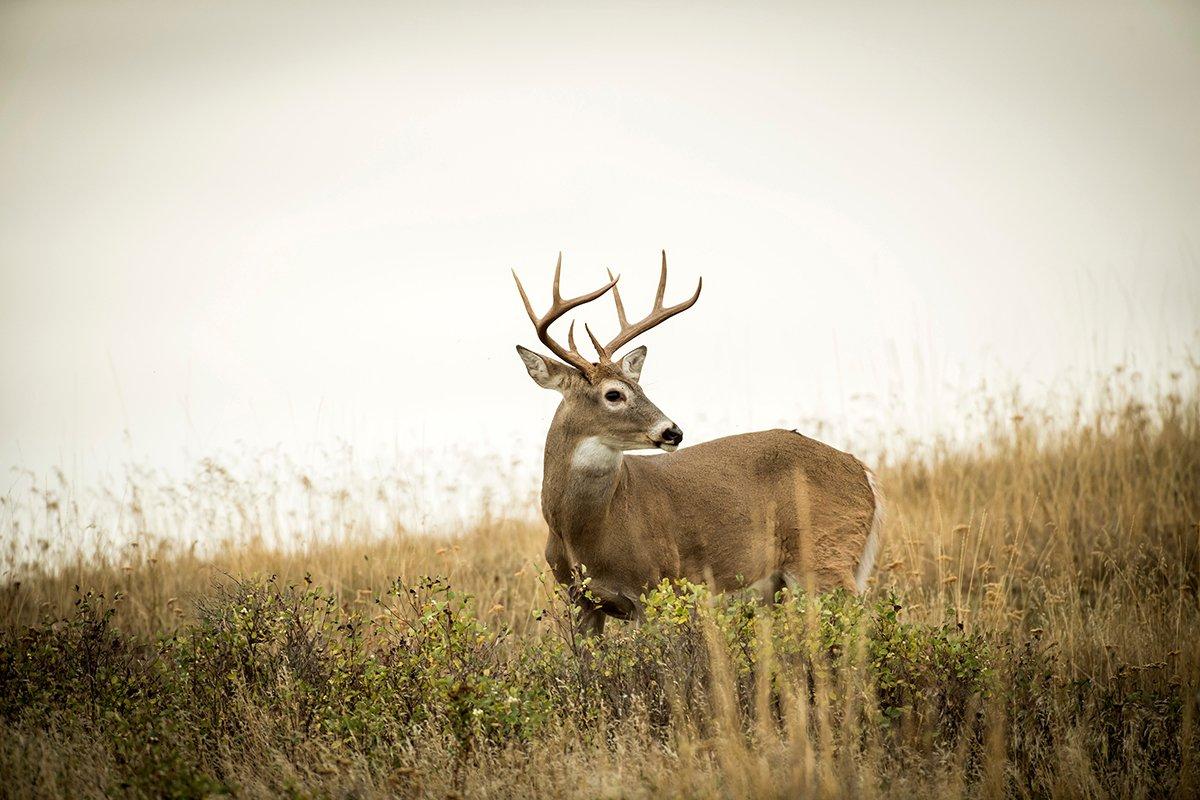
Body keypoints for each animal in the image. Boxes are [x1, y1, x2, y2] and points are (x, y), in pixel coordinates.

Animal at [508, 253, 883, 633]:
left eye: (639, 386)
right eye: (614, 394)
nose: (673, 431)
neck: (582, 532)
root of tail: (862, 471)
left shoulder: (657, 582)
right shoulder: (581, 600)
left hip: (825, 555)